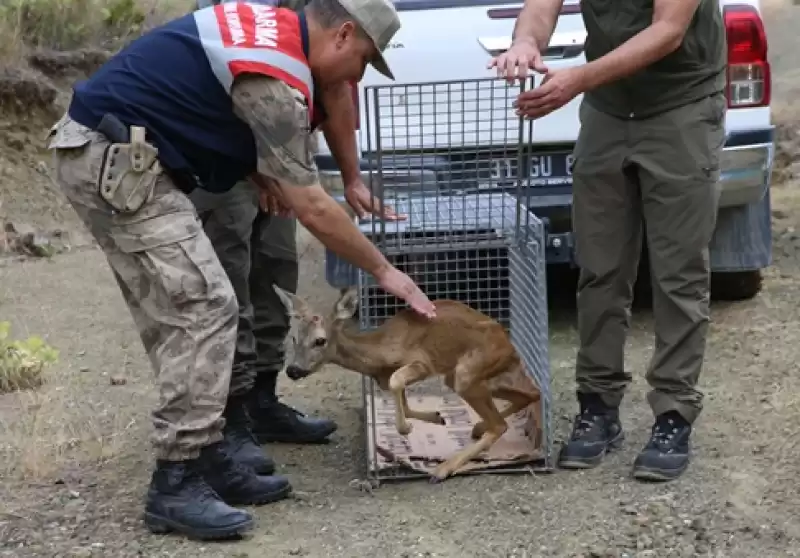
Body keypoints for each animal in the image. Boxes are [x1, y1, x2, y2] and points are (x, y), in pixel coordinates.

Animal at [276, 286, 544, 484]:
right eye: (293, 337)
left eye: (320, 340)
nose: (293, 370)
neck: (379, 354)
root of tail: (510, 347)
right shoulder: (392, 376)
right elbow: (402, 398)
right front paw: (437, 417)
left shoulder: (421, 361)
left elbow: (397, 383)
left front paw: (406, 428)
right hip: (463, 375)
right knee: (530, 394)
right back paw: (482, 428)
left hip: (467, 372)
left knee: (501, 423)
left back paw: (442, 470)